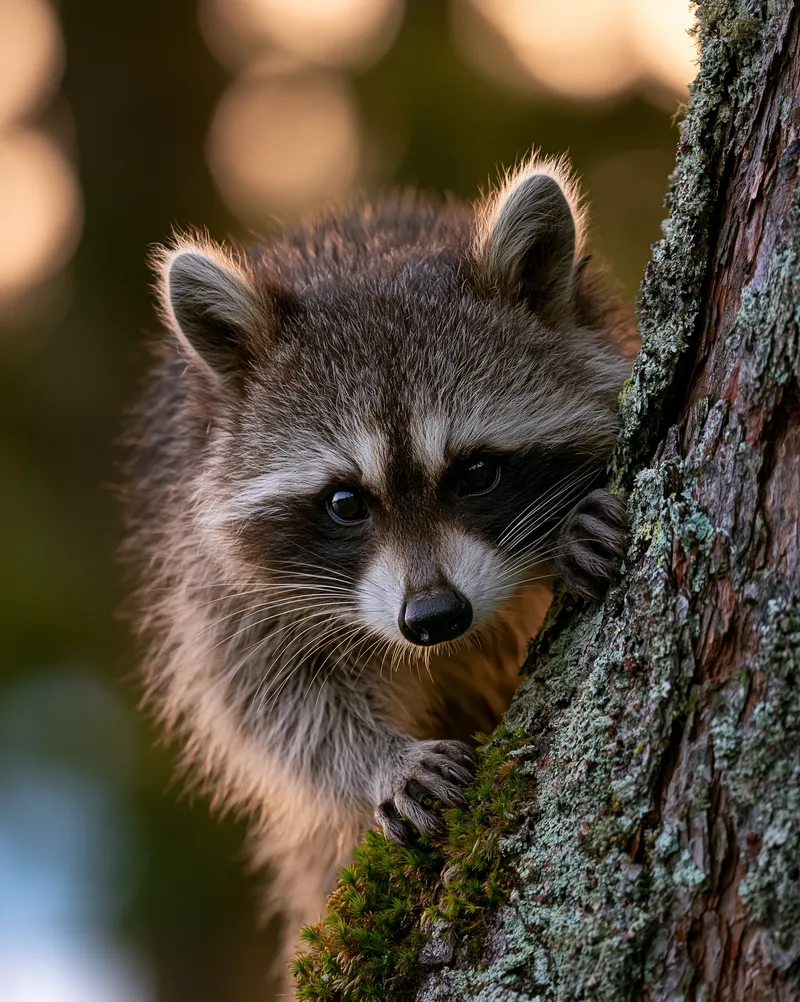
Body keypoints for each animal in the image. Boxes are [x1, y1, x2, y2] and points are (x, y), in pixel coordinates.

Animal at [122, 154, 631, 993]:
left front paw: (565, 537)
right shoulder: (216, 573)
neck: (364, 260)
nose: (433, 618)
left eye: (476, 472)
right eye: (344, 502)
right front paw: (375, 760)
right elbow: (264, 701)